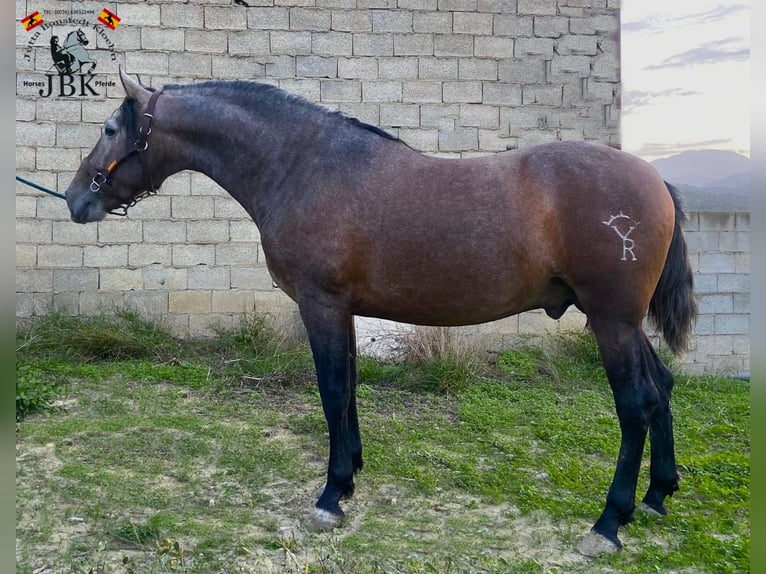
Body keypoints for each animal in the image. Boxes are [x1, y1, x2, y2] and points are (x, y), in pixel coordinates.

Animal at [66, 68, 700, 560]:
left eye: (109, 129)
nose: (75, 198)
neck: (303, 166)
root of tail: (656, 180)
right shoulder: (343, 310)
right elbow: (347, 387)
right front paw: (349, 479)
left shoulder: (320, 305)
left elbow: (331, 389)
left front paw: (329, 497)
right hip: (622, 323)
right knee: (662, 387)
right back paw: (657, 496)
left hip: (611, 322)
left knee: (636, 405)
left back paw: (609, 524)